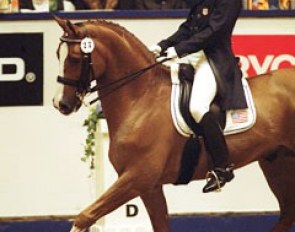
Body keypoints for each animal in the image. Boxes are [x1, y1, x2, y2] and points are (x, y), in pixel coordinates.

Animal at [52, 17, 295, 231]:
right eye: (57, 55)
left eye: (74, 58)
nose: (60, 104)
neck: (141, 97)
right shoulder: (150, 187)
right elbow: (160, 225)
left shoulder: (137, 177)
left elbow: (85, 216)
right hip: (277, 162)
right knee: (287, 214)